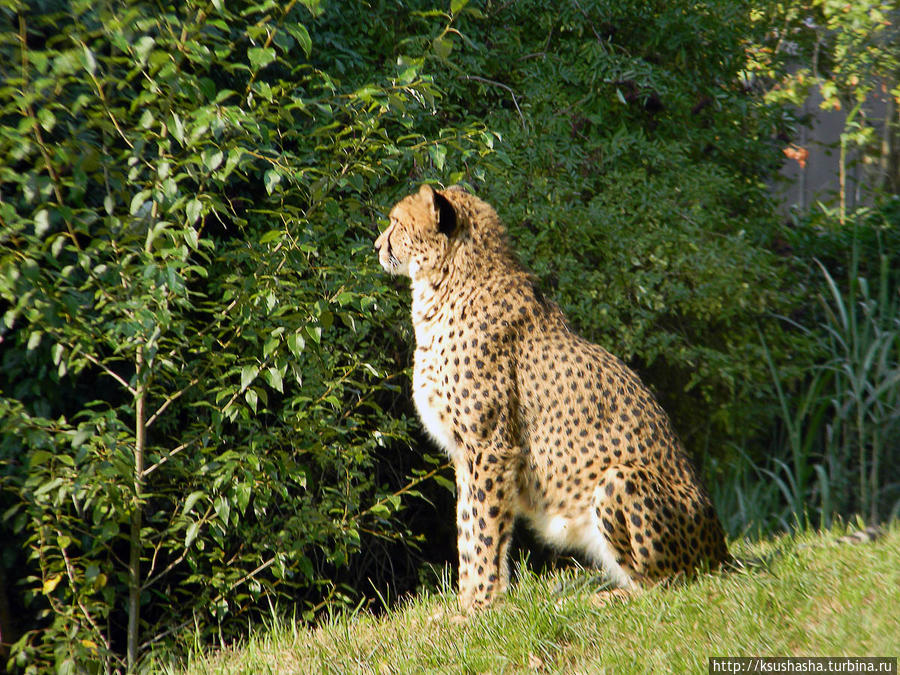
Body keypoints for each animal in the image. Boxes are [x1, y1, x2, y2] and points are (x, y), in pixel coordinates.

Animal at [374, 184, 732, 612]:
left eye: (396, 222)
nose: (376, 246)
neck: (445, 284)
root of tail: (722, 548)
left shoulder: (490, 449)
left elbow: (484, 530)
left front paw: (480, 606)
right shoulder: (465, 456)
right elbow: (466, 528)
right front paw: (465, 604)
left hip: (618, 478)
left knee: (664, 584)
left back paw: (600, 599)